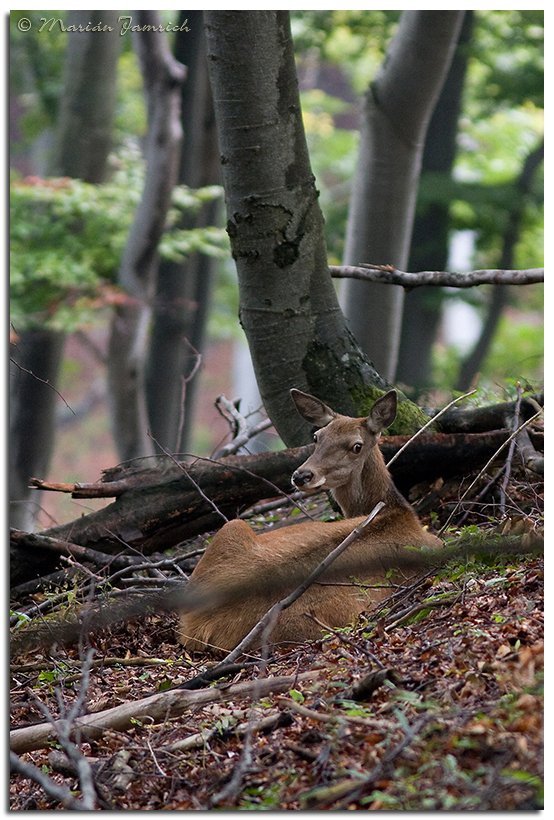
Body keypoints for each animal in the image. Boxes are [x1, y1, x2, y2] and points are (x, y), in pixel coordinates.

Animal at [179, 390, 442, 652]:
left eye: (356, 446)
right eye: (317, 436)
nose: (301, 475)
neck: (397, 510)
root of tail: (199, 625)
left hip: (231, 529)